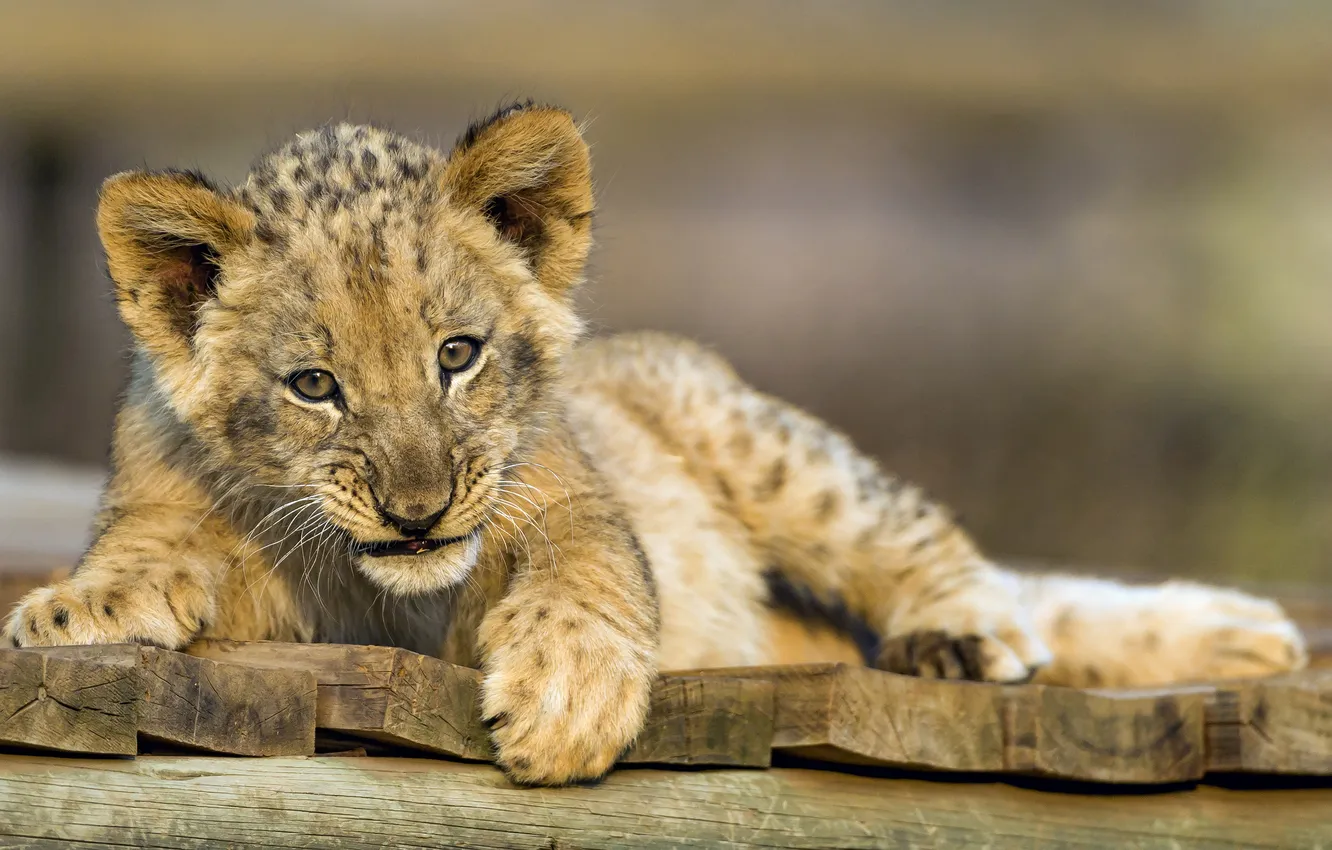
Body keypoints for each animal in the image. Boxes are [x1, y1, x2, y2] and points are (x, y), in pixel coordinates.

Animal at [5, 102, 1306, 785]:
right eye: (315, 385)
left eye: (458, 355)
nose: (420, 512)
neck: (387, 586)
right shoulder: (229, 543)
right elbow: (155, 549)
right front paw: (73, 610)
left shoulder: (565, 497)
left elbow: (584, 577)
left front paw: (566, 696)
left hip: (764, 442)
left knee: (960, 560)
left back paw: (978, 634)